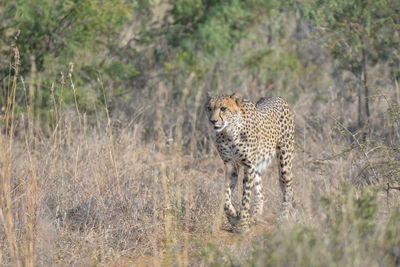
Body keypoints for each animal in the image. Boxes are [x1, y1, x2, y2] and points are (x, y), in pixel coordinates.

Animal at [206, 92, 294, 232]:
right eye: (209, 108)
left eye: (223, 108)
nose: (213, 121)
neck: (229, 132)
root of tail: (277, 97)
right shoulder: (231, 165)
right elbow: (225, 196)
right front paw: (234, 217)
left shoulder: (248, 165)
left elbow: (246, 196)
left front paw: (242, 224)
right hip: (257, 165)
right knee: (261, 192)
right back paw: (255, 216)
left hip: (284, 159)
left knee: (288, 186)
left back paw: (283, 217)